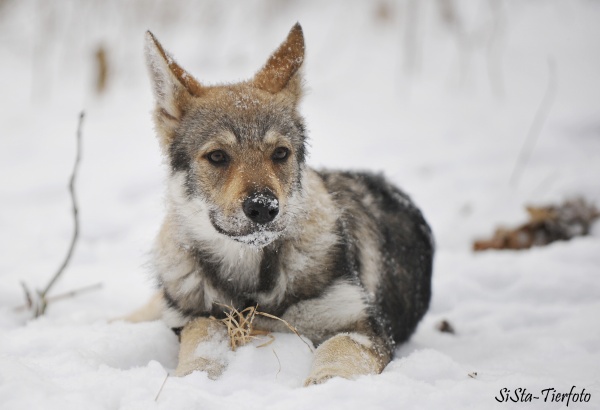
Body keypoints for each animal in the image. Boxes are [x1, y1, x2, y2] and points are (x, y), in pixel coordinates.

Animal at [129, 24, 434, 386]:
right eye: (217, 157)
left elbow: (338, 351)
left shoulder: (364, 326)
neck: (252, 284)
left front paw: (325, 385)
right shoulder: (194, 317)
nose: (263, 207)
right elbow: (202, 335)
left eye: (280, 154)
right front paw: (192, 376)